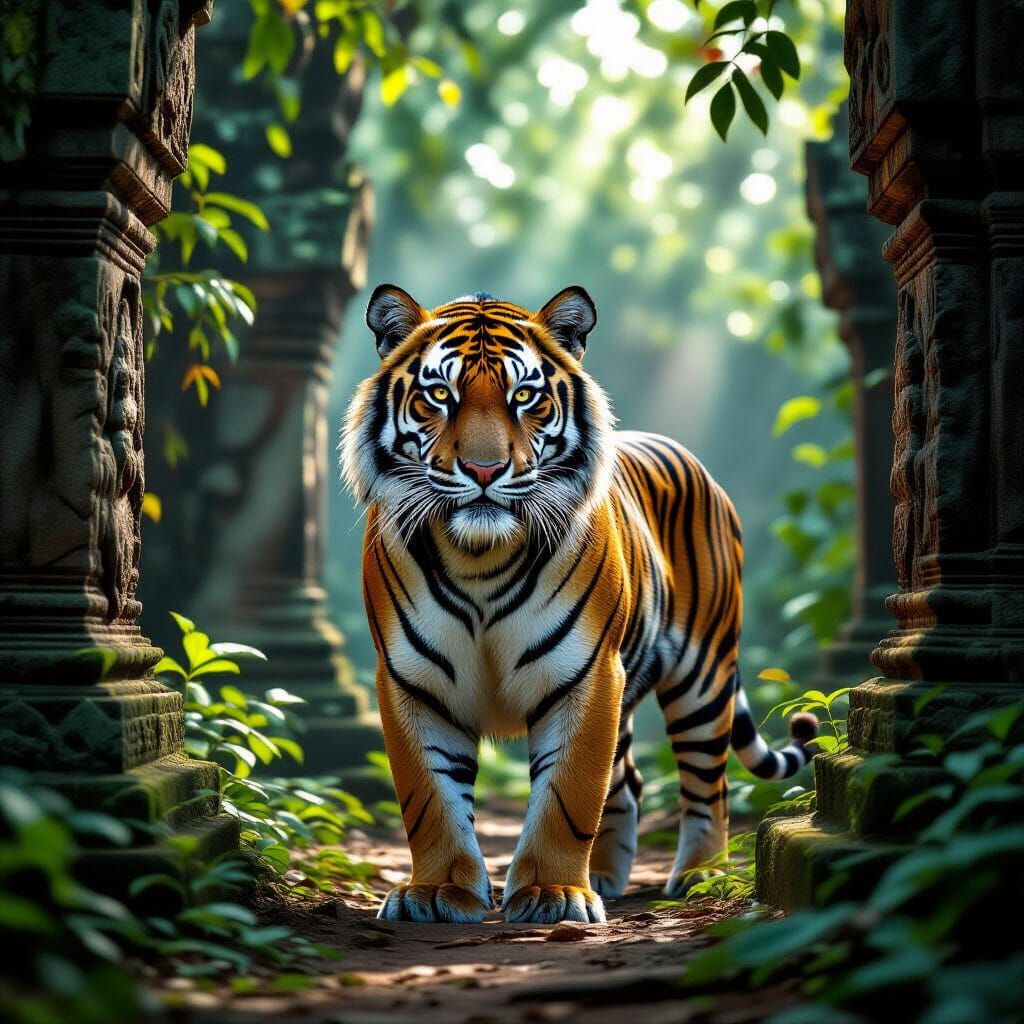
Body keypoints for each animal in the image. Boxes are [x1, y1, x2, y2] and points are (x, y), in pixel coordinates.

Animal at [341, 284, 819, 925]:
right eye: (439, 394)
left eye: (525, 397)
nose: (485, 469)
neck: (478, 559)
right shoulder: (412, 681)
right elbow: (430, 798)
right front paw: (438, 893)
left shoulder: (587, 675)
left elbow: (568, 795)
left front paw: (553, 894)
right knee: (630, 781)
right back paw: (611, 878)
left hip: (703, 677)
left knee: (707, 786)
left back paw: (700, 877)